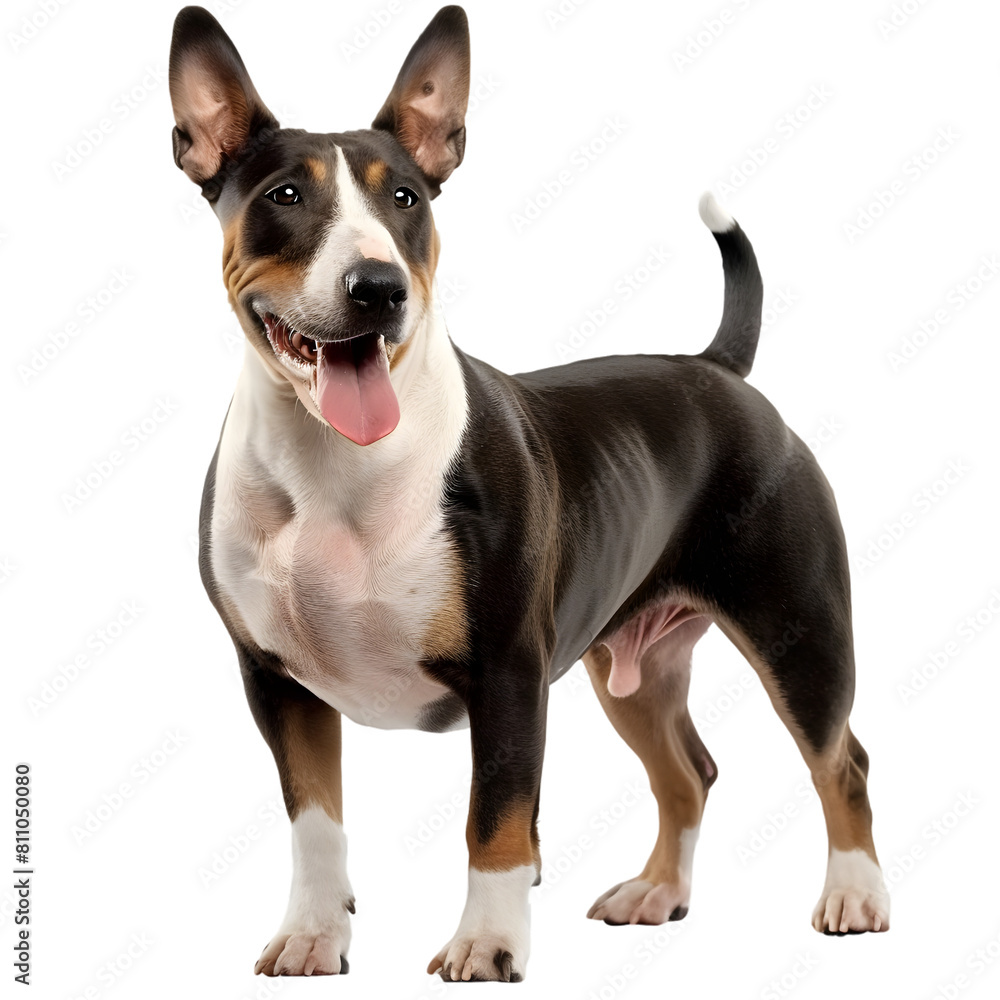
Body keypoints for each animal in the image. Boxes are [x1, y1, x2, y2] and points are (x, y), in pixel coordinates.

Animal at [170, 3, 892, 980]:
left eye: (407, 200)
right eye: (284, 196)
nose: (377, 288)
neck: (336, 464)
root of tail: (715, 368)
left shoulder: (509, 670)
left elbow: (497, 822)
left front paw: (487, 943)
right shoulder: (274, 682)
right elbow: (314, 822)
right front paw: (315, 935)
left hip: (796, 627)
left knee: (838, 758)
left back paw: (854, 894)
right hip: (632, 663)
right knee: (688, 770)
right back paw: (655, 893)